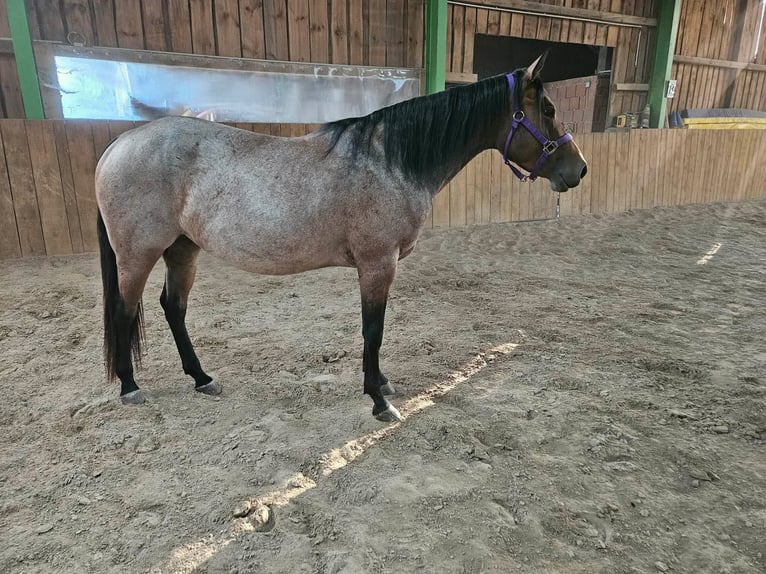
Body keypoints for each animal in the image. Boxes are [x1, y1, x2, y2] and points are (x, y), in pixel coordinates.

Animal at [95, 54, 587, 422]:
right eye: (547, 110)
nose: (579, 170)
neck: (390, 161)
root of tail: (119, 146)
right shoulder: (377, 263)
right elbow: (374, 330)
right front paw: (379, 400)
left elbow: (376, 332)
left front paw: (383, 385)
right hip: (138, 254)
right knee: (124, 310)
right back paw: (131, 387)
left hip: (183, 250)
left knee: (173, 308)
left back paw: (202, 378)